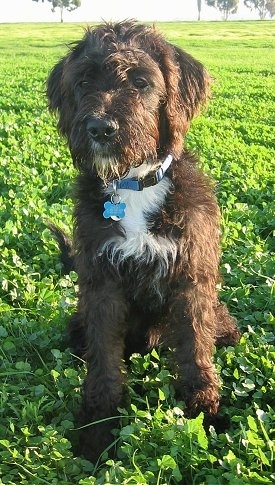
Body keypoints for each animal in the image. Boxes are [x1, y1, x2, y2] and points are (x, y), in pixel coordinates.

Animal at [47, 19, 242, 462]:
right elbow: (103, 357)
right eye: (84, 81)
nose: (100, 129)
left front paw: (204, 412)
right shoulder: (101, 283)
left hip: (218, 314)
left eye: (140, 81)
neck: (133, 184)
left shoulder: (191, 278)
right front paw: (98, 427)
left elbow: (194, 349)